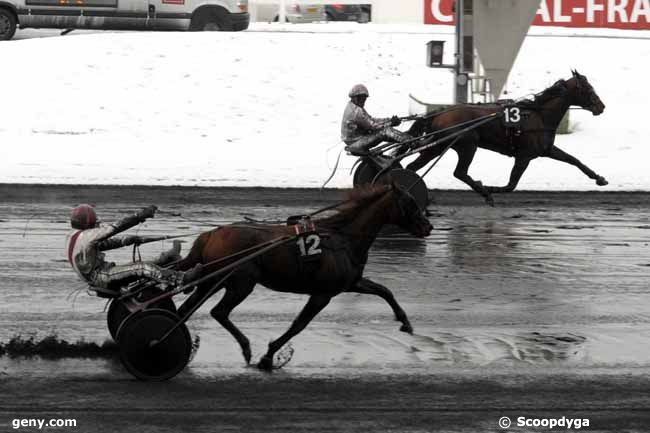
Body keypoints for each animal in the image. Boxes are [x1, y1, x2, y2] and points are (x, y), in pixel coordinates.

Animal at [175, 184, 432, 370]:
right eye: (410, 203)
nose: (428, 227)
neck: (342, 238)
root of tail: (212, 233)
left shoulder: (350, 283)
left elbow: (383, 290)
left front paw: (405, 322)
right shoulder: (322, 294)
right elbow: (299, 324)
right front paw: (269, 356)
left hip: (212, 280)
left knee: (186, 310)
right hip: (241, 283)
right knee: (218, 312)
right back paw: (245, 347)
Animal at [408, 71, 604, 206]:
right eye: (588, 88)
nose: (601, 106)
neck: (539, 116)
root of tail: (439, 113)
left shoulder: (547, 150)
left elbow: (574, 160)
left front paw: (599, 178)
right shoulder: (524, 156)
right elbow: (511, 185)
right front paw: (490, 189)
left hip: (437, 147)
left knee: (412, 167)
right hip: (467, 146)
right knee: (460, 172)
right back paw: (484, 193)